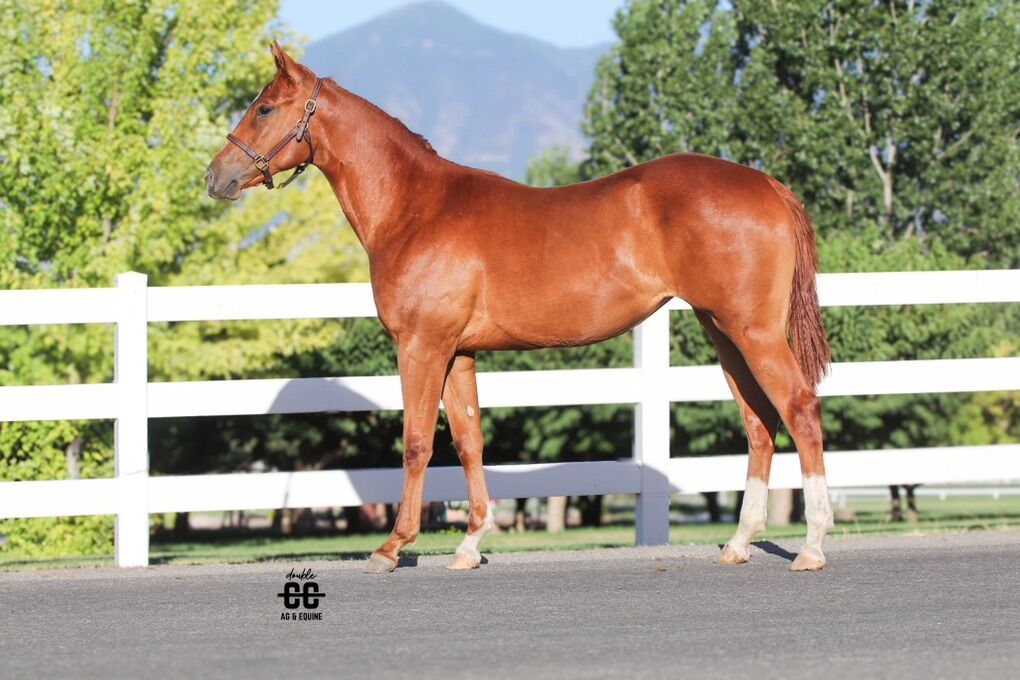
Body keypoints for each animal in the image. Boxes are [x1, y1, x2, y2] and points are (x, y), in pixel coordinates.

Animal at [205, 44, 834, 574]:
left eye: (264, 108)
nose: (215, 177)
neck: (416, 208)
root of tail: (768, 185)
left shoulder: (421, 346)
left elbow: (416, 443)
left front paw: (392, 547)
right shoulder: (458, 353)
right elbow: (468, 441)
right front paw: (469, 546)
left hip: (753, 332)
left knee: (800, 409)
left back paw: (811, 546)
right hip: (724, 333)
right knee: (759, 423)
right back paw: (739, 544)